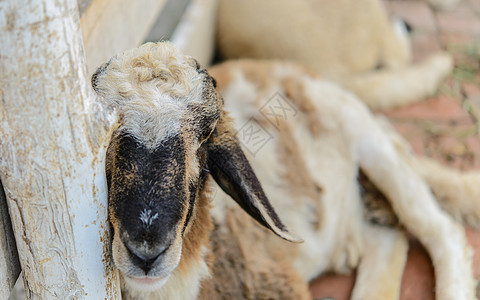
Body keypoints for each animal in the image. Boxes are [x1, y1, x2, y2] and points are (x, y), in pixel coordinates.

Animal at [91, 42, 480, 300]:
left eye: (206, 135)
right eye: (103, 135)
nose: (146, 251)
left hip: (370, 140)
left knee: (440, 229)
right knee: (389, 240)